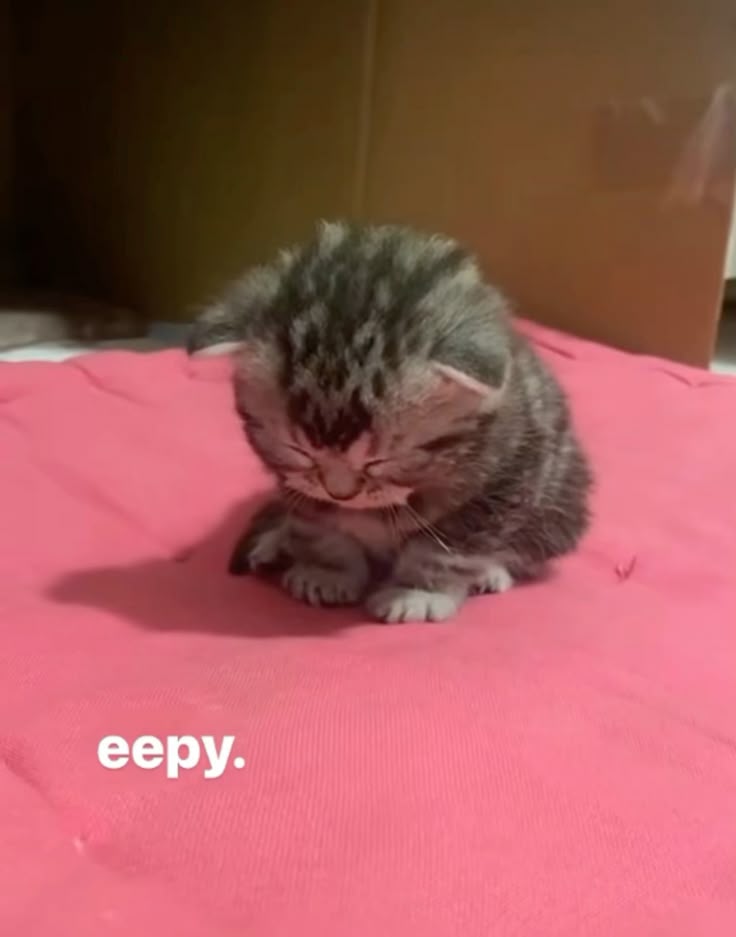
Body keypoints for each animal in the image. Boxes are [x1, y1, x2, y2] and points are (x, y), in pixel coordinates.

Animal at [188, 221, 592, 623]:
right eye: (299, 451)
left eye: (379, 461)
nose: (341, 493)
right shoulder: (295, 483)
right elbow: (320, 526)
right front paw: (326, 571)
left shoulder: (504, 480)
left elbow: (447, 550)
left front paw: (418, 592)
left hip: (561, 497)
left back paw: (491, 572)